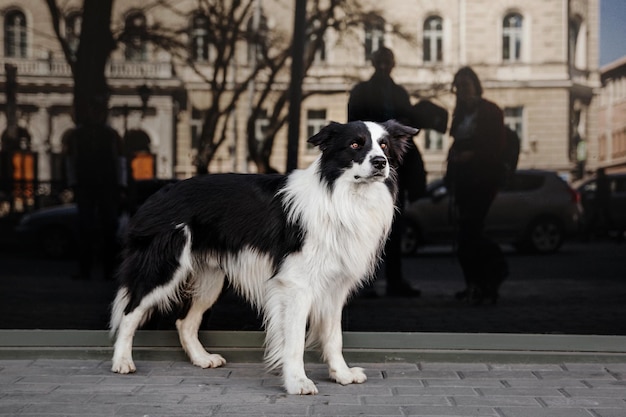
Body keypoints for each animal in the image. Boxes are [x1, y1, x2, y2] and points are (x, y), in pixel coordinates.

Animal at [109, 119, 414, 394]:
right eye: (355, 145)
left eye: (384, 146)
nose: (380, 162)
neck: (342, 196)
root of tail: (157, 192)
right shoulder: (296, 285)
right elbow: (294, 341)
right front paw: (297, 382)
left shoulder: (334, 287)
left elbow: (333, 336)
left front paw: (341, 374)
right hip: (164, 267)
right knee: (130, 311)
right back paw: (122, 361)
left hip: (211, 279)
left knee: (185, 322)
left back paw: (201, 359)